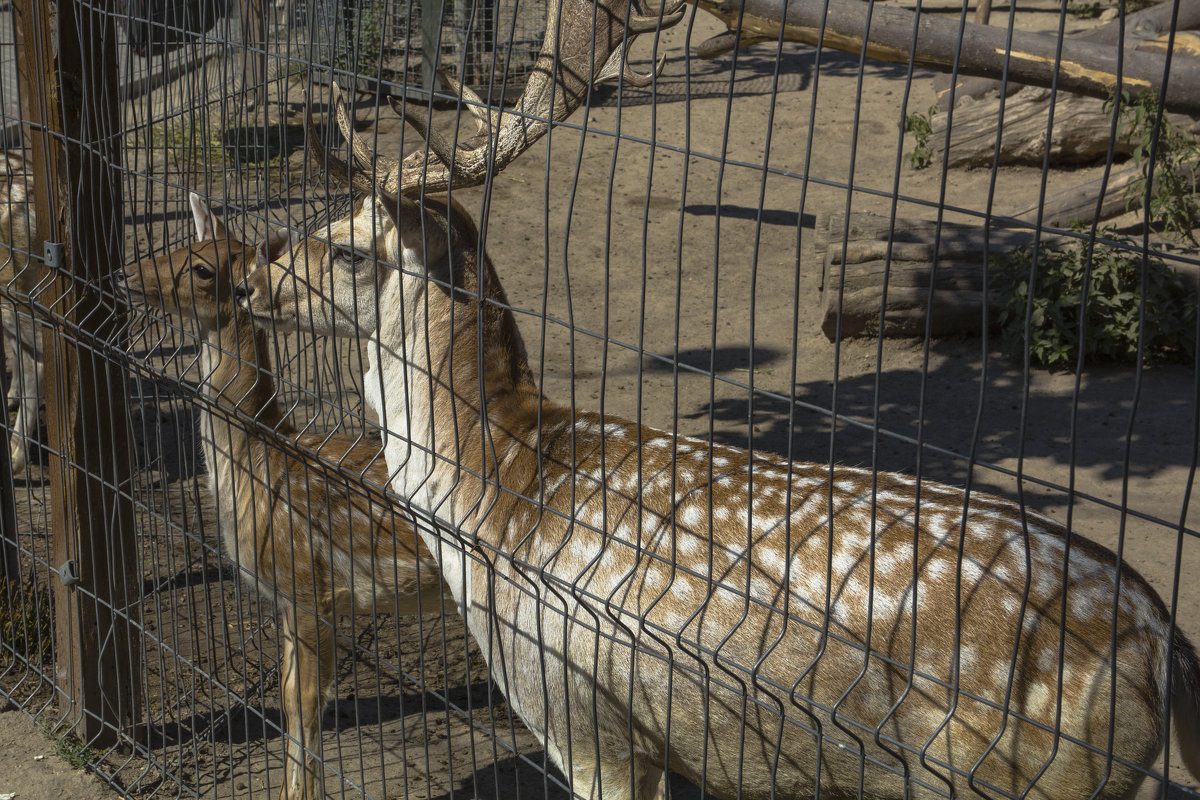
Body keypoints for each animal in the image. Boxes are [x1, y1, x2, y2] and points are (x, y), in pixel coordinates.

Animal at [120, 194, 446, 800]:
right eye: (184, 243)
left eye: (203, 269)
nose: (125, 274)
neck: (260, 454)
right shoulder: (288, 601)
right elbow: (289, 696)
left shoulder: (309, 586)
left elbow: (307, 704)